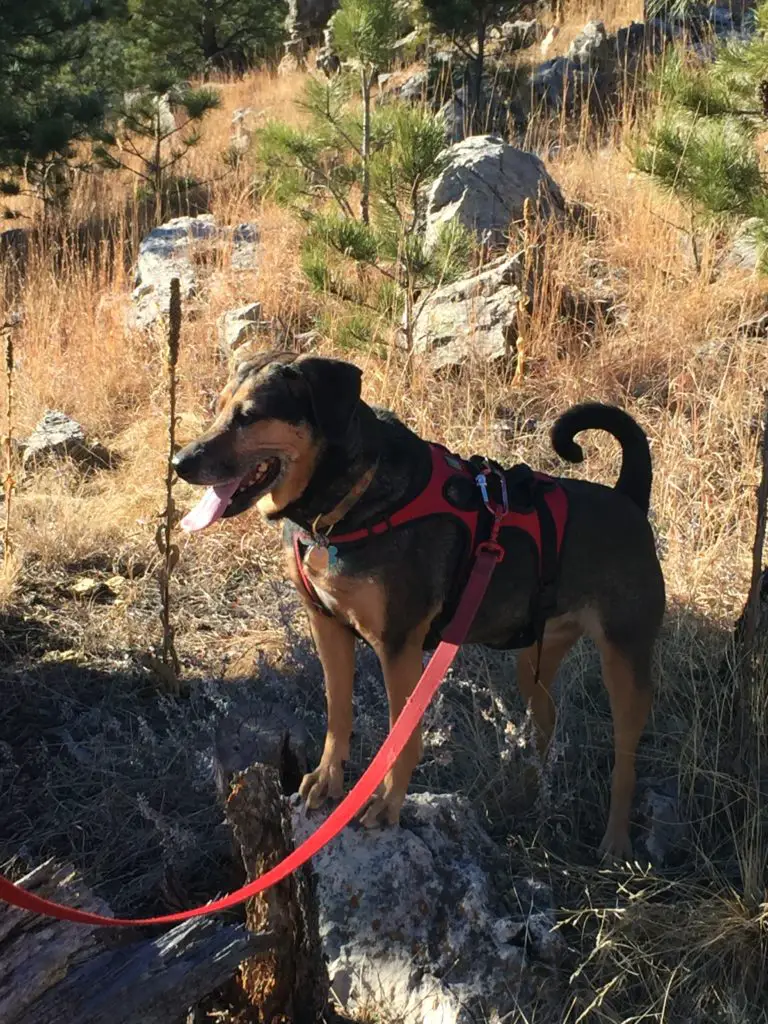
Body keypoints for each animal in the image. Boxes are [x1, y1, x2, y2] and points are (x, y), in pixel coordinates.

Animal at [174, 352, 667, 856]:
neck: (344, 505)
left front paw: (386, 803)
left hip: (625, 659)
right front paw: (328, 779)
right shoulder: (327, 626)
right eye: (217, 407)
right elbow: (338, 713)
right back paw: (531, 790)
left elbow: (401, 737)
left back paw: (615, 841)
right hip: (536, 654)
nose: (179, 463)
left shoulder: (399, 645)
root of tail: (628, 497)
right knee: (544, 719)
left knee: (626, 759)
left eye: (249, 416)